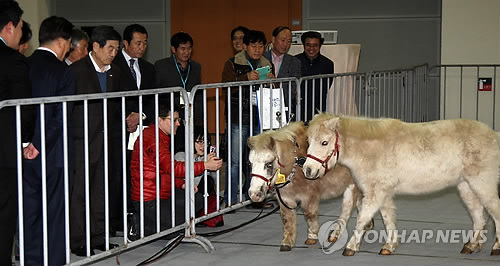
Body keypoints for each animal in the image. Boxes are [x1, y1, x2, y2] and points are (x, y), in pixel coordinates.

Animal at [247, 122, 368, 251]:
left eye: (269, 164)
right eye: (250, 164)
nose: (254, 194)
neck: (296, 163)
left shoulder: (309, 196)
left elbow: (309, 214)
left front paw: (312, 236)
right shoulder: (285, 198)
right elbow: (287, 218)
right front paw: (287, 242)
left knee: (348, 209)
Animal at [300, 114, 500, 256]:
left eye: (324, 142)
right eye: (309, 142)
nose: (308, 170)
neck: (370, 150)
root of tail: (494, 136)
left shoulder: (376, 192)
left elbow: (363, 218)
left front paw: (350, 247)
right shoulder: (384, 193)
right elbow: (388, 218)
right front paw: (389, 245)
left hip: (483, 184)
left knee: (494, 211)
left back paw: (495, 247)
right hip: (466, 186)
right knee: (478, 215)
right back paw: (472, 245)